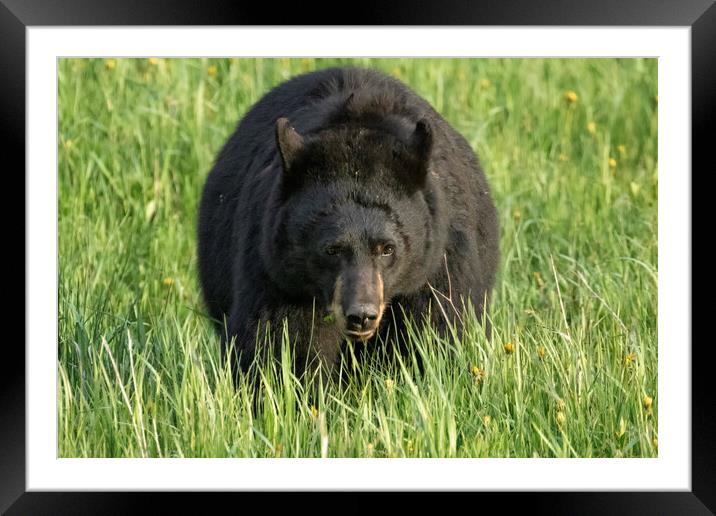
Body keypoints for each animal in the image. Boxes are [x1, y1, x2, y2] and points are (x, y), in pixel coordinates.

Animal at [196, 66, 498, 380]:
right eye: (332, 249)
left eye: (387, 248)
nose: (361, 316)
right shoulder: (276, 269)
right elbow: (279, 339)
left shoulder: (440, 260)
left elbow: (440, 325)